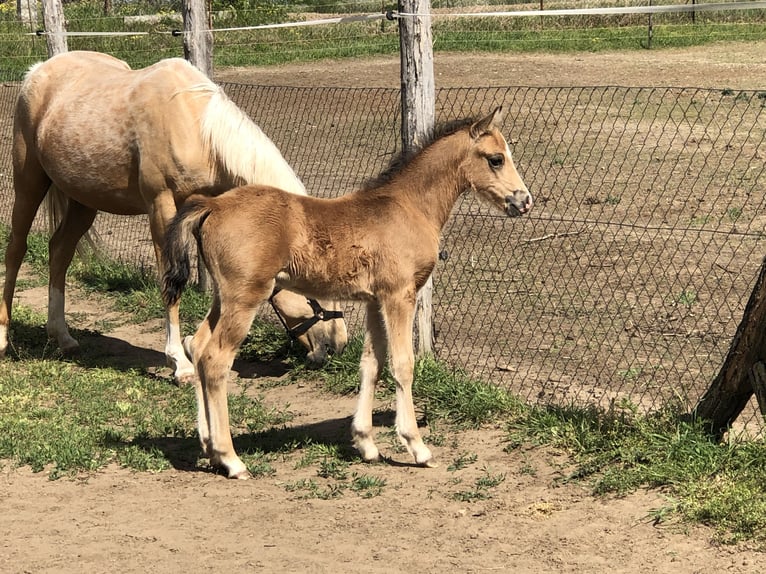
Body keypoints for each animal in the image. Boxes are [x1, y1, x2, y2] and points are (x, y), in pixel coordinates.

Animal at [0, 50, 348, 382]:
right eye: (313, 289)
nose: (337, 345)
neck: (198, 130)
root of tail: (38, 71)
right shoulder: (162, 208)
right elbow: (172, 280)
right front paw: (180, 363)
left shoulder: (205, 215)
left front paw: (195, 345)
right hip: (29, 181)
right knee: (16, 249)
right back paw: (4, 337)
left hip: (84, 200)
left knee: (60, 252)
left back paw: (62, 336)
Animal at [162, 106, 536, 480]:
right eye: (496, 159)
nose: (524, 201)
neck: (409, 207)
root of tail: (212, 206)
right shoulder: (399, 296)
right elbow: (403, 364)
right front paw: (417, 446)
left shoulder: (374, 300)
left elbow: (371, 363)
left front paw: (366, 443)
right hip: (245, 296)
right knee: (216, 359)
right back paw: (231, 458)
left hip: (223, 297)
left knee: (197, 346)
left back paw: (209, 448)